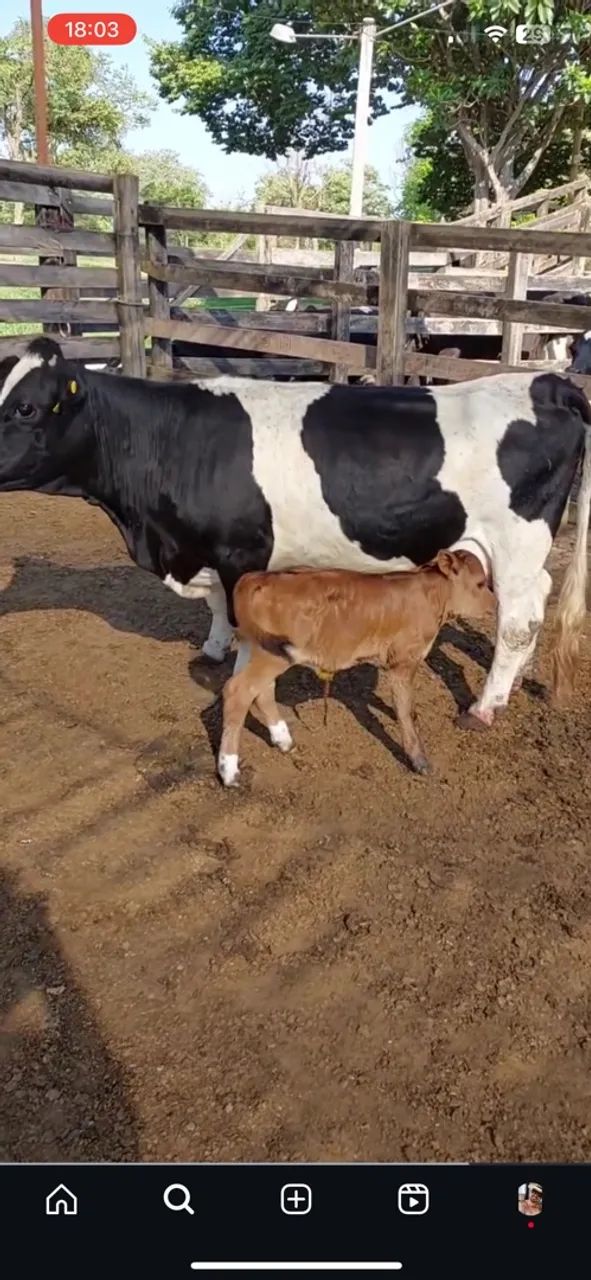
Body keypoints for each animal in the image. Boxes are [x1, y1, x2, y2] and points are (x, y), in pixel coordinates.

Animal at [0, 337, 589, 733]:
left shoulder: (241, 551)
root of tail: (546, 382)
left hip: (516, 544)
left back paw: (485, 706)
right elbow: (218, 609)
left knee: (519, 617)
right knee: (534, 606)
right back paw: (517, 679)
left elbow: (242, 624)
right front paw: (211, 649)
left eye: (25, 406)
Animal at [219, 551, 495, 786]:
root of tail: (257, 577)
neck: (433, 595)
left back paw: (283, 741)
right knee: (238, 691)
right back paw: (229, 771)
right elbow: (406, 711)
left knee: (261, 692)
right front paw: (419, 761)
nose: (494, 605)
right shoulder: (403, 661)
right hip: (273, 655)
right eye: (481, 583)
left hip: (259, 648)